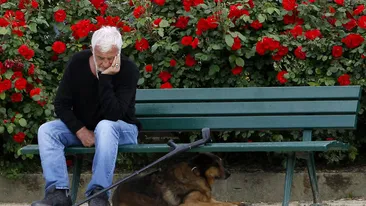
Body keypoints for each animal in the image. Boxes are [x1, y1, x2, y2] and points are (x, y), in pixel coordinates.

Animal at [111, 152, 246, 205]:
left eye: (221, 163)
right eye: (216, 165)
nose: (229, 174)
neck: (198, 175)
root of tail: (115, 192)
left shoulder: (206, 198)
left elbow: (222, 202)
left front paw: (238, 203)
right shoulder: (189, 202)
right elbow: (217, 204)